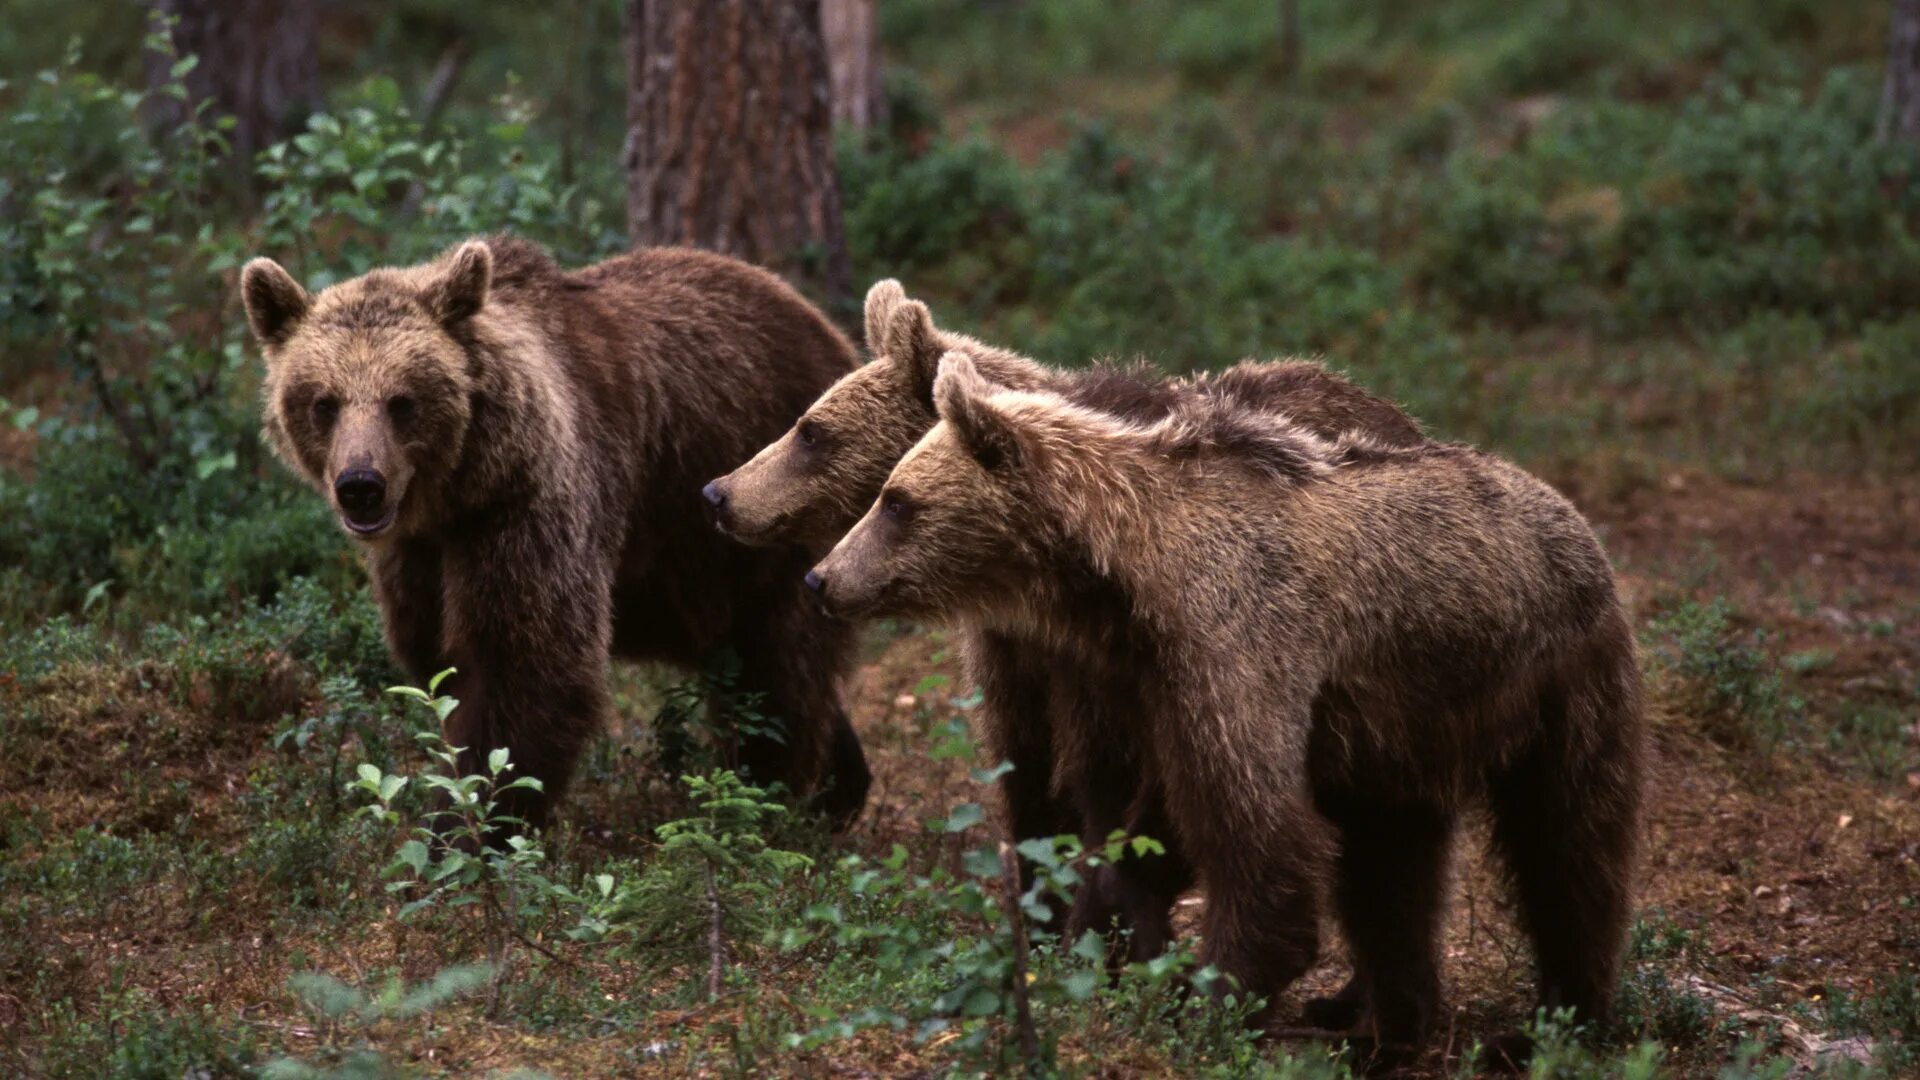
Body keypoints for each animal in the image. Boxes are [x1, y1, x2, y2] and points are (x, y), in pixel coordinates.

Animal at [243, 233, 875, 822]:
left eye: (403, 402)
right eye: (324, 402)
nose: (361, 484)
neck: (457, 492)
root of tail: (828, 327)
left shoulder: (526, 509)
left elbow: (526, 669)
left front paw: (474, 825)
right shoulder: (419, 556)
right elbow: (439, 664)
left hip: (766, 509)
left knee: (775, 669)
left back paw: (764, 794)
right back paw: (839, 786)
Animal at [706, 284, 1428, 957]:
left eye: (811, 430)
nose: (720, 492)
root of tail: (1389, 407)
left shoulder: (1110, 667)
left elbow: (1113, 785)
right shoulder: (1015, 660)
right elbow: (1029, 780)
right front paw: (1043, 916)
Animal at [810, 351, 1651, 1060]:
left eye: (896, 501)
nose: (823, 577)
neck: (1121, 578)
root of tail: (1571, 513)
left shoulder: (1234, 644)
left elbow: (1257, 836)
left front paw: (1199, 995)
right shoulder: (1155, 683)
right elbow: (1153, 823)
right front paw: (1107, 937)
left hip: (1558, 679)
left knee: (1569, 848)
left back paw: (1556, 1021)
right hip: (1401, 724)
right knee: (1391, 868)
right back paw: (1389, 1031)